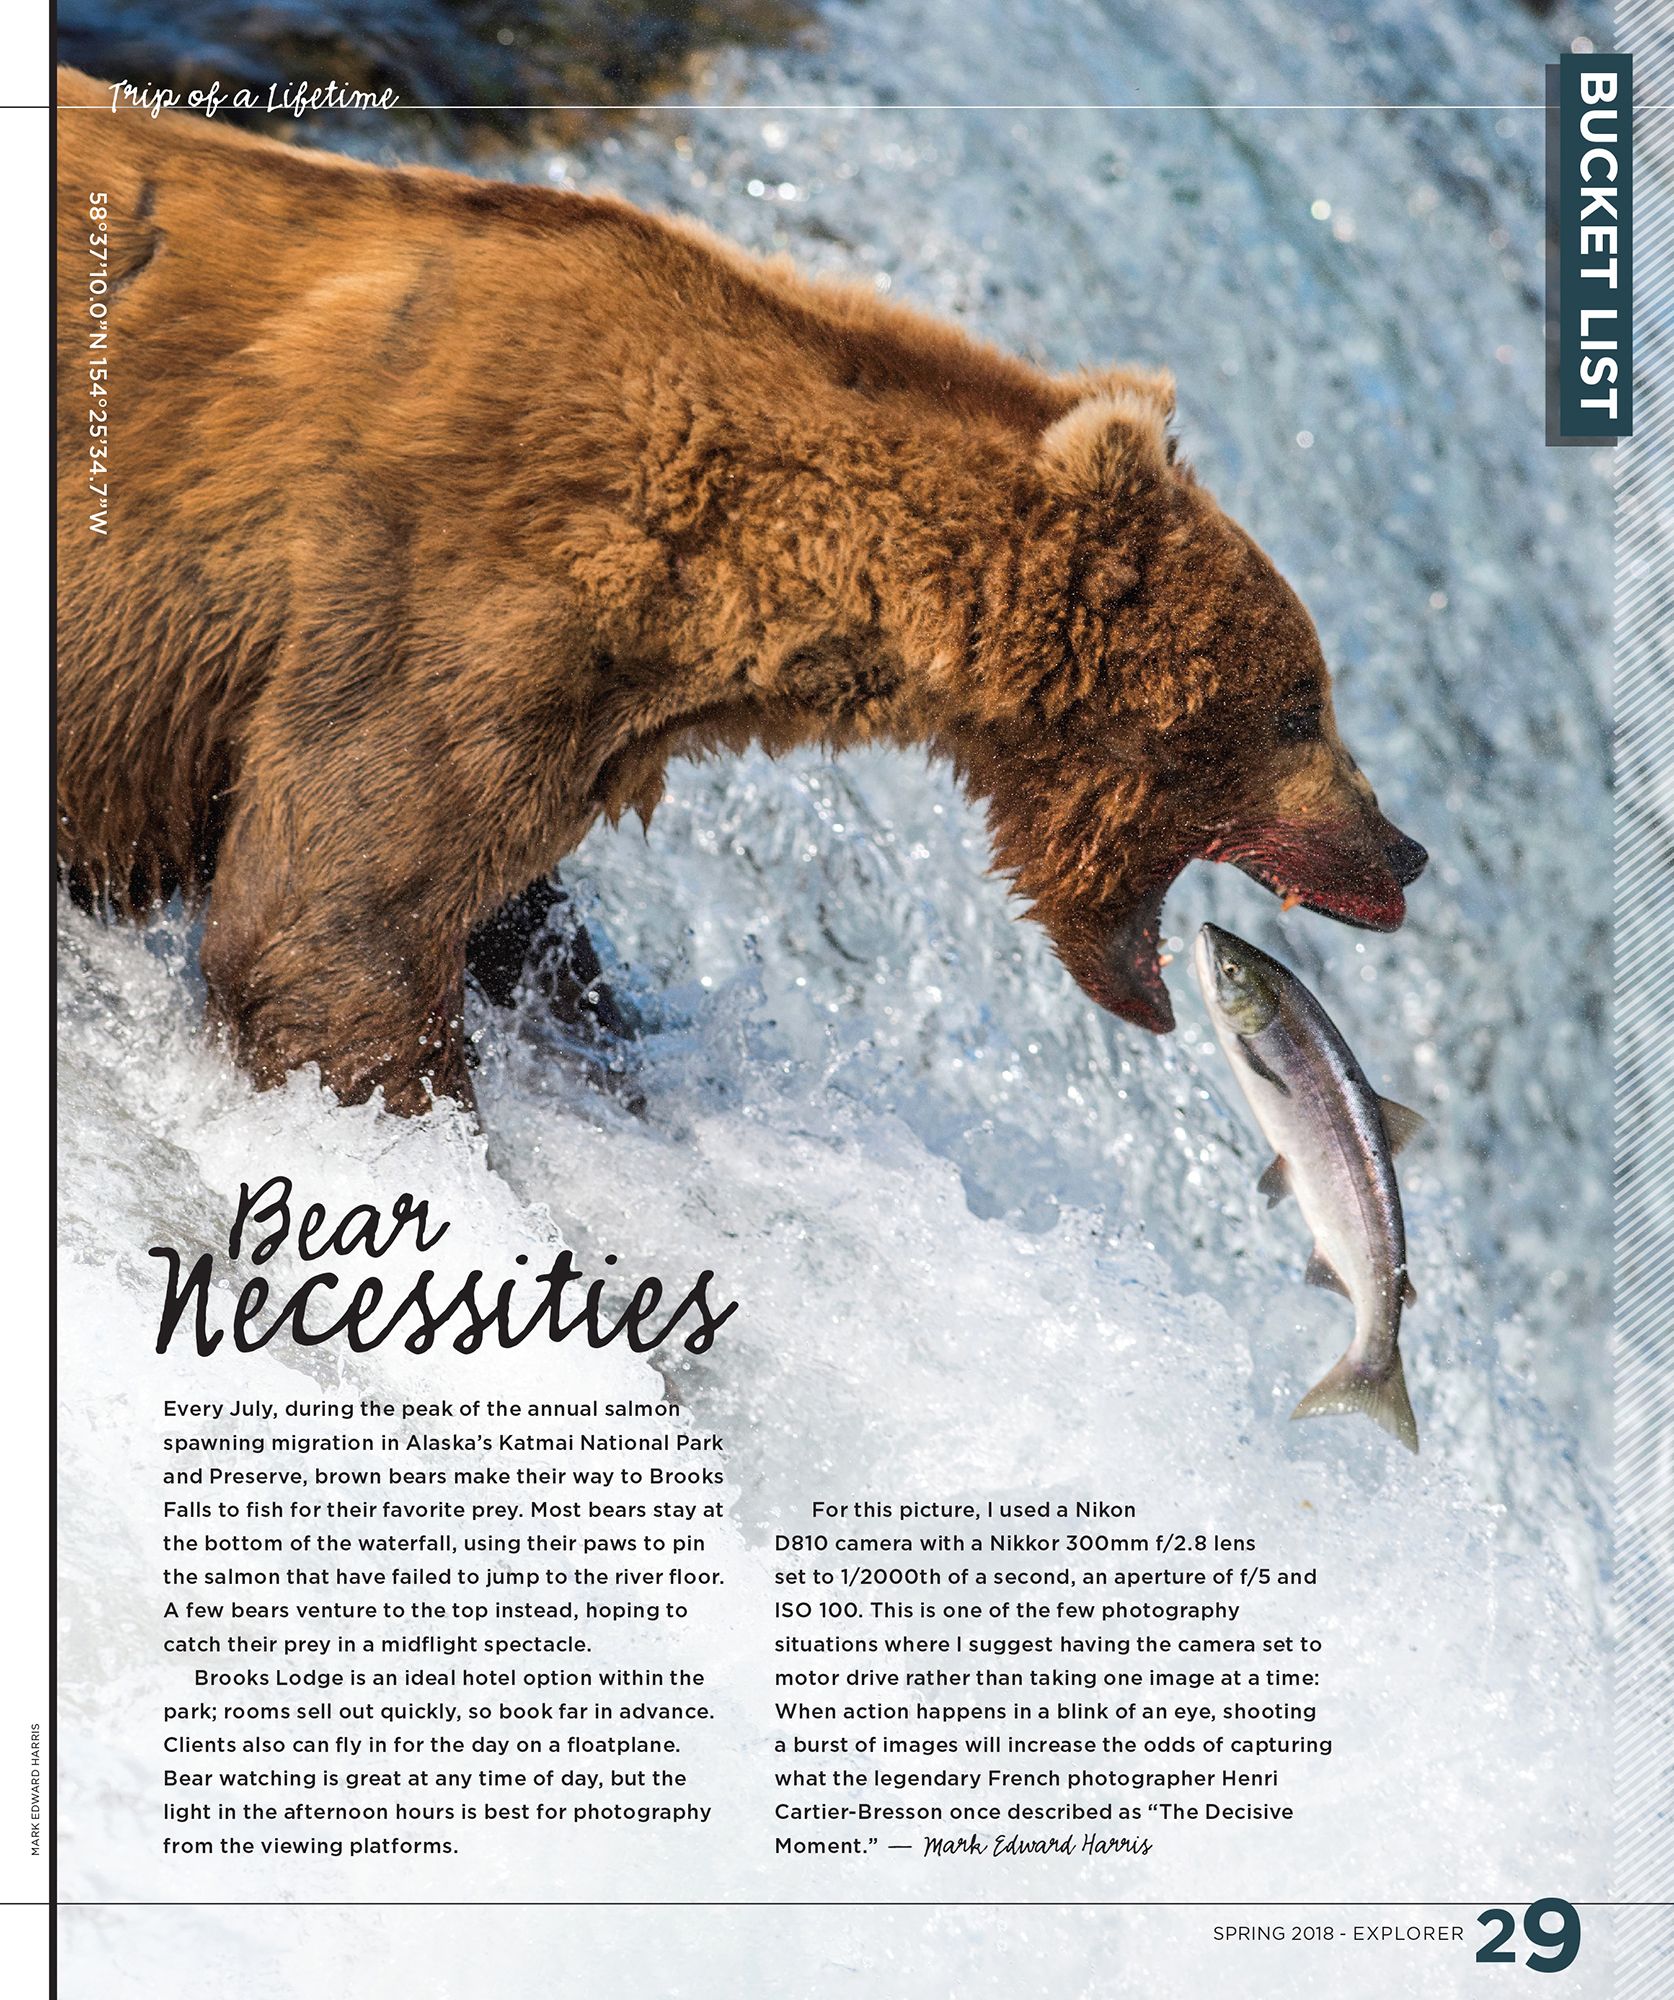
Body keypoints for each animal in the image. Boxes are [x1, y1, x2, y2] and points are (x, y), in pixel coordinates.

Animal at [55, 66, 1426, 1116]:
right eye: (1301, 705)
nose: (1402, 850)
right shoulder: (440, 581)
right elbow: (329, 923)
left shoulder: (573, 708)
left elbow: (500, 913)